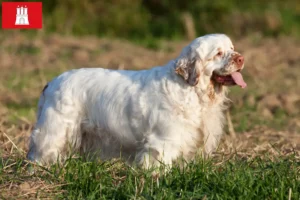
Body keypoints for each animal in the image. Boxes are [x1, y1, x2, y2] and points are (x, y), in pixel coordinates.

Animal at [27, 34, 246, 167]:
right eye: (218, 53)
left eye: (232, 48)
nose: (241, 58)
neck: (191, 90)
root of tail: (51, 82)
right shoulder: (163, 141)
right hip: (54, 131)